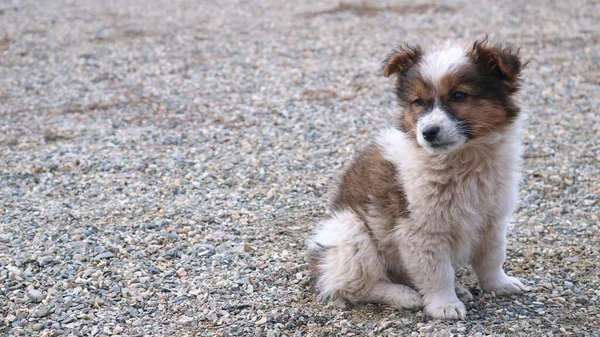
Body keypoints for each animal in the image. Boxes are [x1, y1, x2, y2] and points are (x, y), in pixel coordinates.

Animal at [308, 38, 528, 318]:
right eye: (418, 102)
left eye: (459, 96)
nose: (428, 132)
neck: (463, 160)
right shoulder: (420, 229)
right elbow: (438, 273)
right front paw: (444, 305)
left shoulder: (492, 219)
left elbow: (492, 257)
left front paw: (499, 285)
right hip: (351, 233)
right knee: (354, 286)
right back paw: (404, 295)